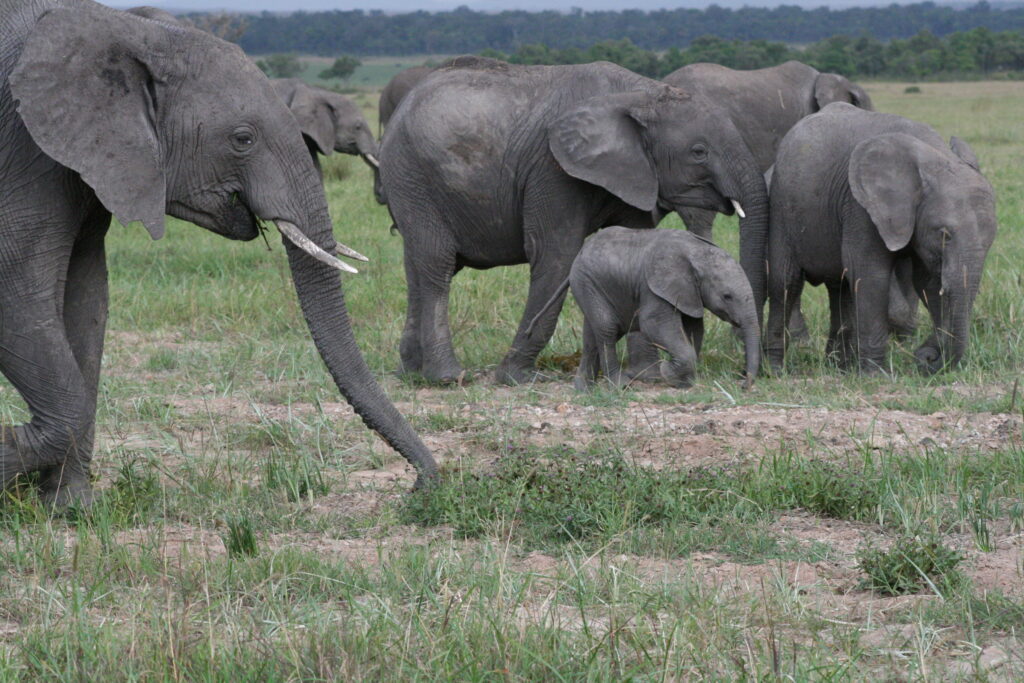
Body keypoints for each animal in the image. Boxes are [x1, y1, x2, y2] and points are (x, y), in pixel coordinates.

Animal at [0, 0, 436, 505]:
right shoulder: (21, 151)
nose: (422, 485)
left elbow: (87, 305)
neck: (128, 29)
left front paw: (70, 508)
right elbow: (19, 301)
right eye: (242, 139)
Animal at [565, 228, 757, 393]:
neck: (697, 253)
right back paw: (620, 386)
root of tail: (582, 249)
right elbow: (653, 324)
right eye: (727, 296)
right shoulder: (654, 288)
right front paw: (667, 372)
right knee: (608, 328)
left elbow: (694, 328)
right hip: (586, 282)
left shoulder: (689, 293)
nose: (743, 385)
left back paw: (585, 389)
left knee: (592, 335)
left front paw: (683, 382)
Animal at [765, 104, 995, 376]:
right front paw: (875, 375)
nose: (927, 357)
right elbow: (871, 273)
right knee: (785, 281)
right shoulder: (859, 205)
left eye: (990, 241)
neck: (936, 156)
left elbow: (927, 281)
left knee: (840, 287)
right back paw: (775, 370)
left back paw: (840, 368)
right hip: (781, 205)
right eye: (944, 235)